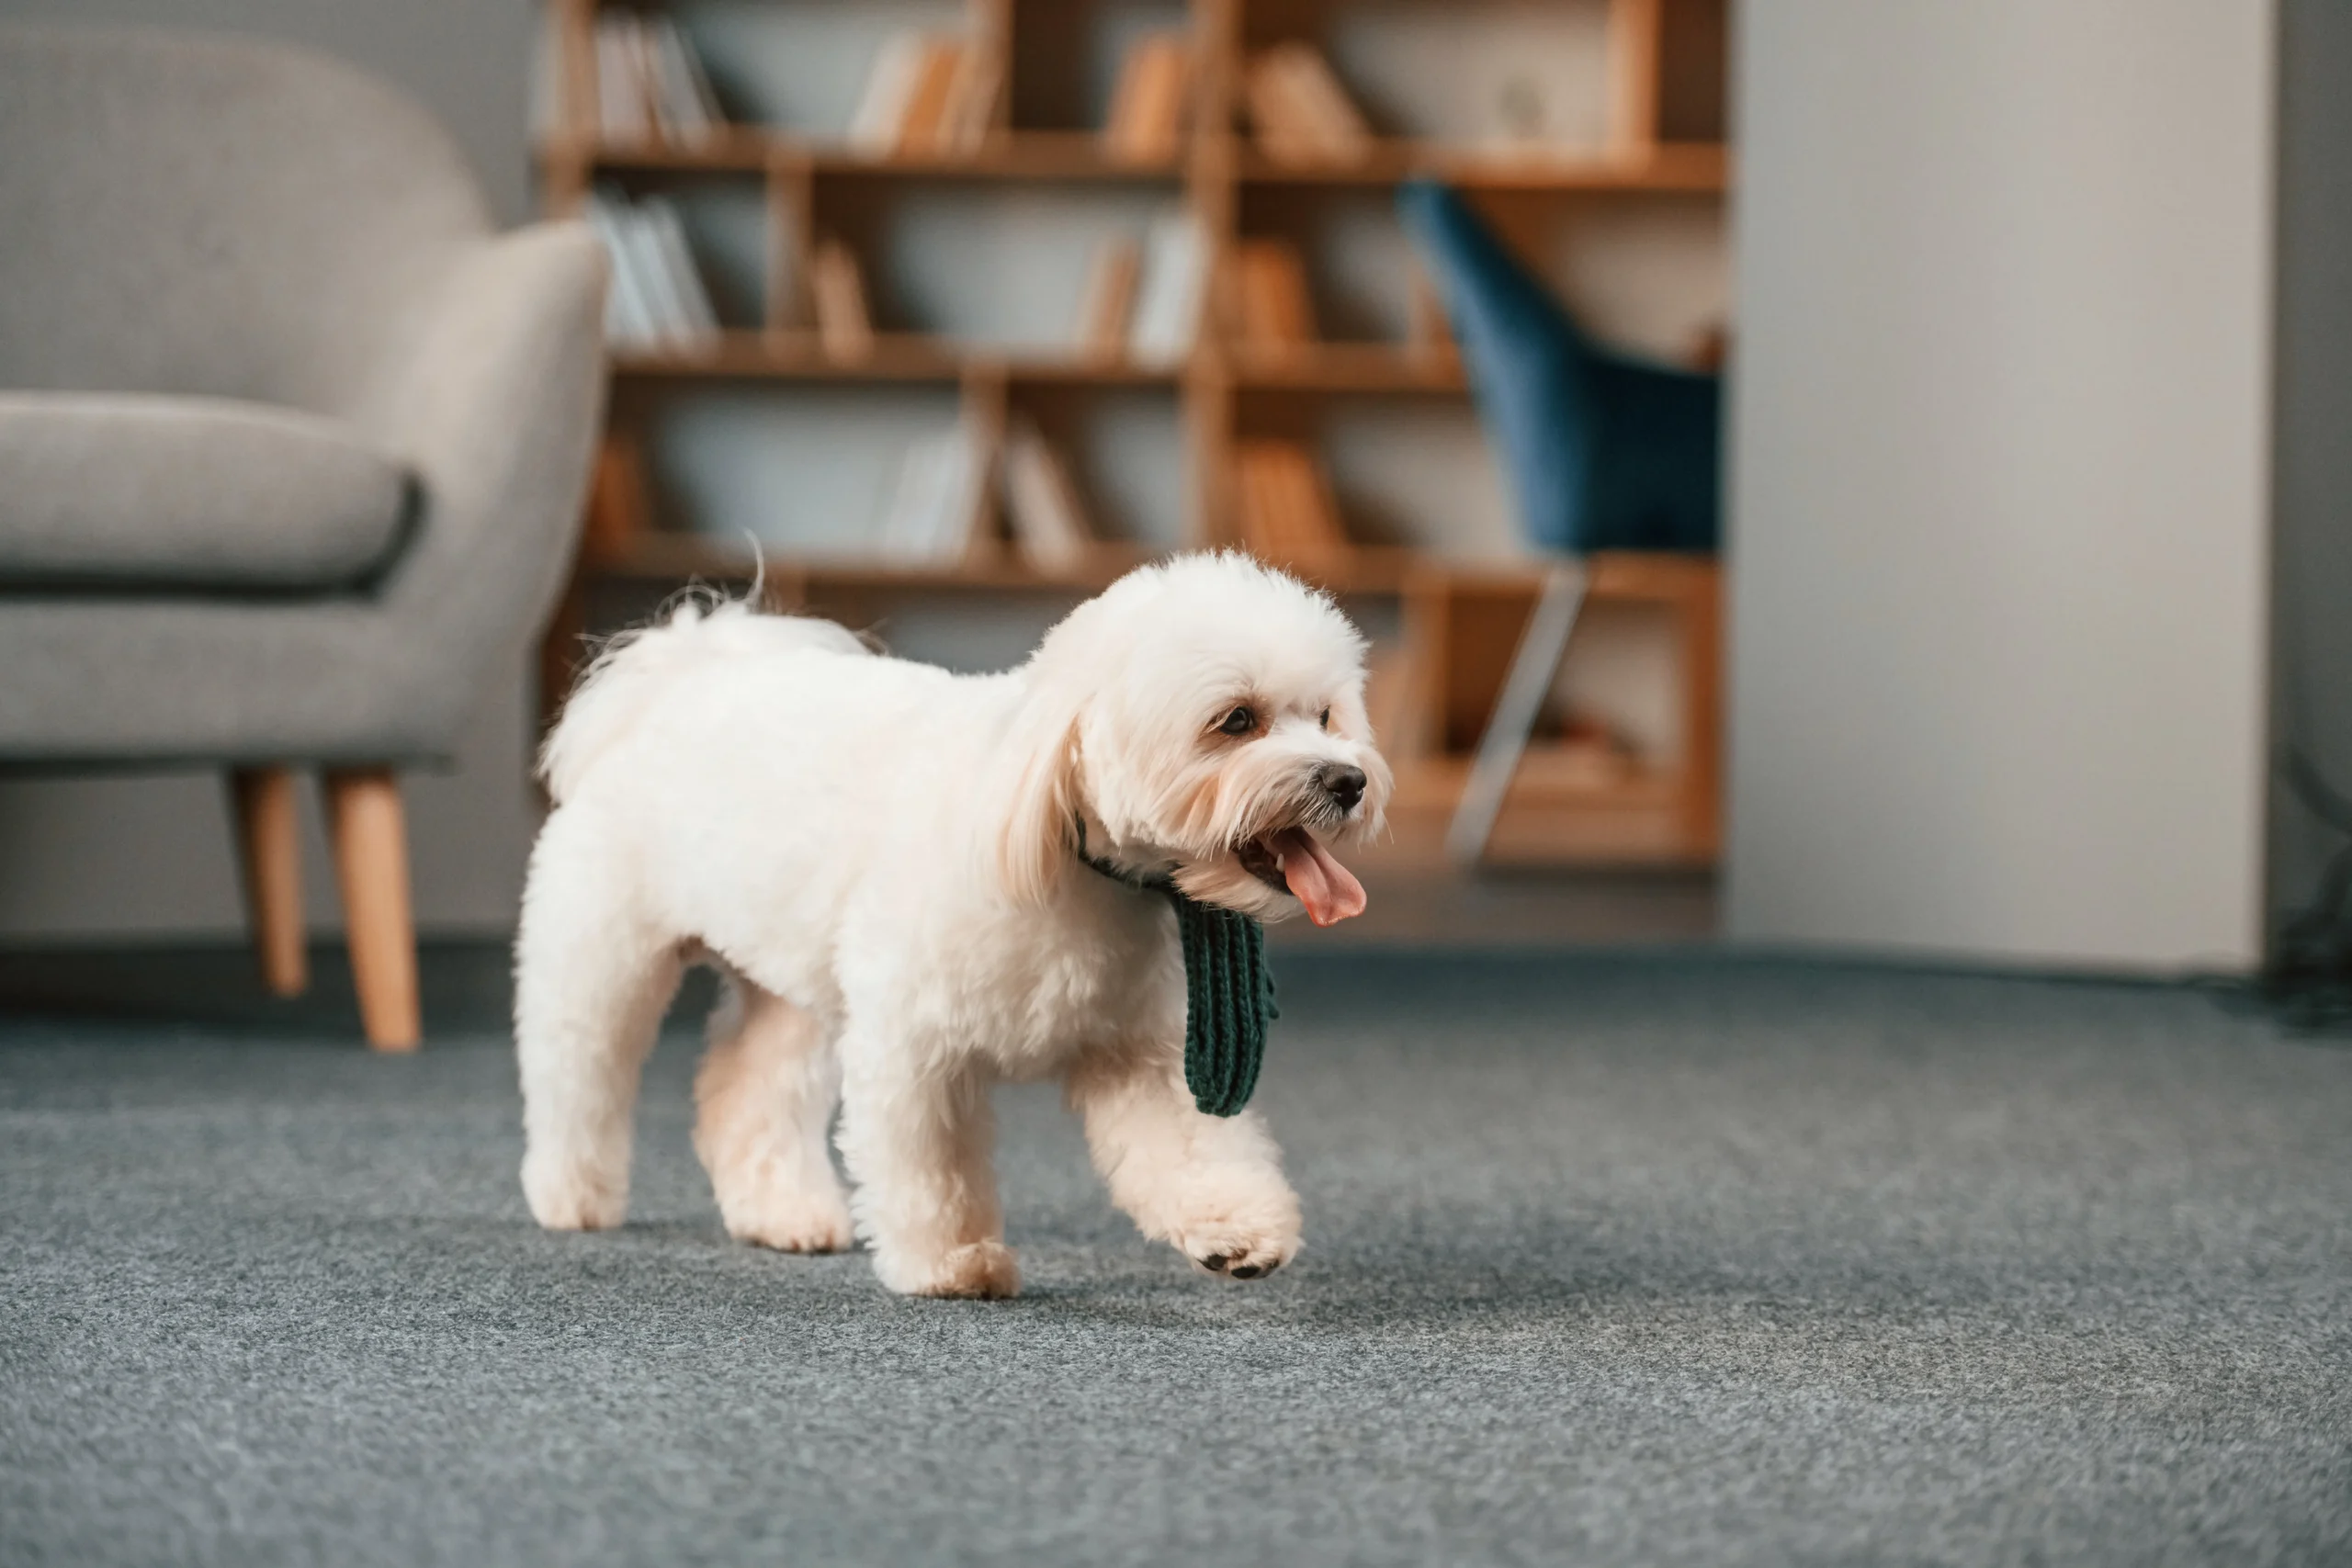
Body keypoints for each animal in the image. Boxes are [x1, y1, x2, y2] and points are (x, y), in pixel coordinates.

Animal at [514, 554, 1383, 1297]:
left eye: (1325, 714)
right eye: (1236, 719)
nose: (1349, 780)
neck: (1054, 830)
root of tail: (678, 679)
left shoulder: (1143, 1054)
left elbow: (1195, 1147)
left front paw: (1236, 1229)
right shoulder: (913, 1046)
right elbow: (930, 1166)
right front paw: (951, 1261)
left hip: (796, 994)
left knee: (745, 1089)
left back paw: (782, 1214)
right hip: (601, 960)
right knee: (577, 1077)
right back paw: (571, 1195)